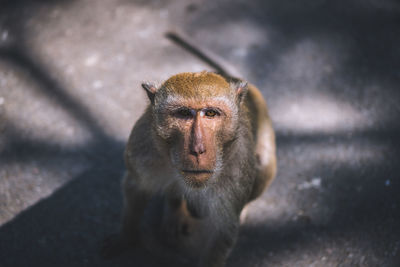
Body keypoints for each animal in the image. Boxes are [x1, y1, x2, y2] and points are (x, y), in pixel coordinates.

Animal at [101, 35, 276, 267]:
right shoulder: (142, 149)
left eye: (211, 113)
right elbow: (135, 188)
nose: (197, 149)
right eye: (183, 114)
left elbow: (223, 232)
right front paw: (126, 237)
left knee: (262, 163)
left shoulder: (237, 169)